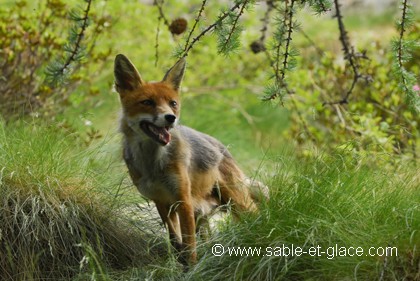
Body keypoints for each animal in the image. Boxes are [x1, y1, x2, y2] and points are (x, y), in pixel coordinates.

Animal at [113, 53, 268, 264]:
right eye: (148, 102)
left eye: (173, 103)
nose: (171, 118)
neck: (153, 165)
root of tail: (222, 147)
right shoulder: (161, 201)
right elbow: (174, 238)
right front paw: (179, 259)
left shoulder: (183, 200)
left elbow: (190, 246)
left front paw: (192, 267)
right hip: (203, 213)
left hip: (236, 200)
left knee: (256, 216)